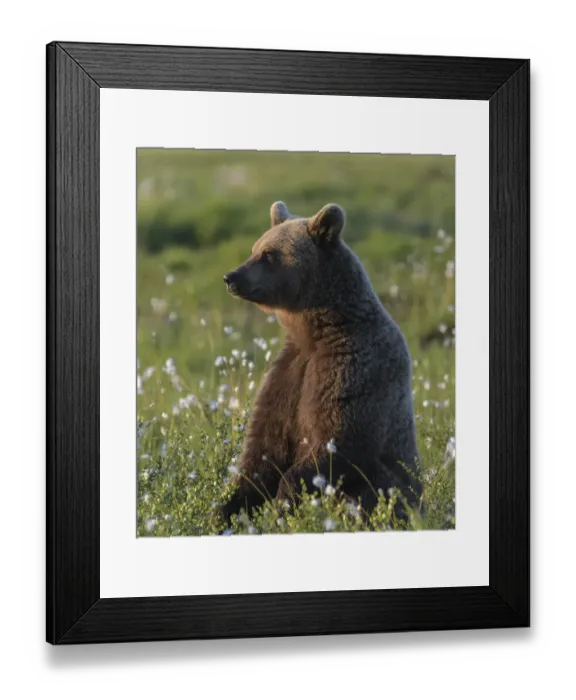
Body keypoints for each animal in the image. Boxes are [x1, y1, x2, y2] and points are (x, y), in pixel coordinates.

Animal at [219, 201, 423, 525]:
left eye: (269, 254)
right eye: (255, 249)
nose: (231, 277)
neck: (316, 333)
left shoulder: (353, 367)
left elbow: (337, 440)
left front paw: (284, 505)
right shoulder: (290, 373)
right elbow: (264, 447)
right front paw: (226, 508)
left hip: (394, 485)